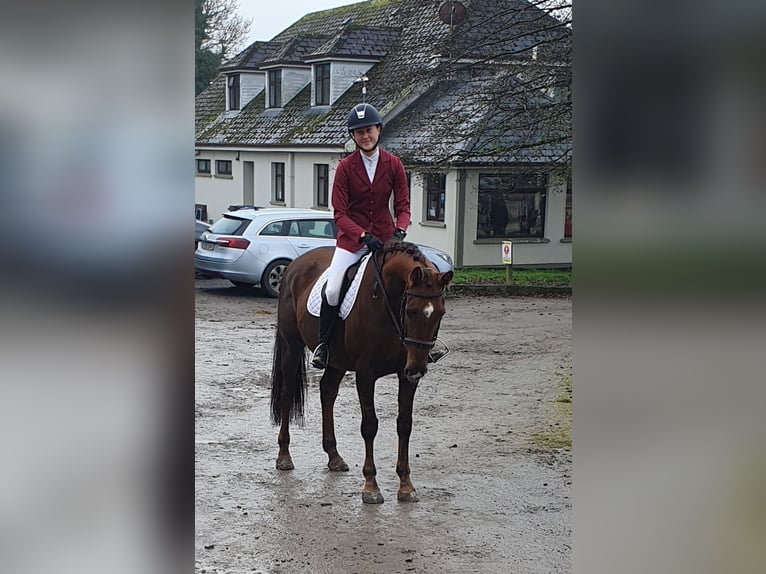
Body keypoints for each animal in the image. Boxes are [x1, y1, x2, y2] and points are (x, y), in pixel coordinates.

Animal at [270, 242, 452, 504]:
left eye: (440, 313)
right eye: (411, 310)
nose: (418, 368)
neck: (387, 300)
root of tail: (295, 264)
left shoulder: (405, 375)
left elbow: (404, 424)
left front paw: (406, 486)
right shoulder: (366, 373)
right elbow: (369, 425)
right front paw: (371, 486)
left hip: (337, 360)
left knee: (327, 392)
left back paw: (334, 456)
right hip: (292, 346)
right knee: (287, 392)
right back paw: (284, 456)